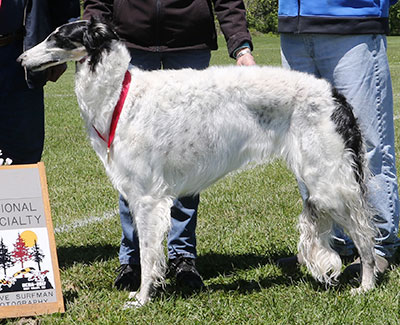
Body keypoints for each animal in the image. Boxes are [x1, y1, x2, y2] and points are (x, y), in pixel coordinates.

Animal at [18, 19, 376, 304]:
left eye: (58, 37)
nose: (21, 58)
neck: (120, 93)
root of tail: (334, 94)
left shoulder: (147, 198)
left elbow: (148, 255)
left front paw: (142, 299)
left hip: (329, 184)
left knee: (365, 236)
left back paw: (367, 285)